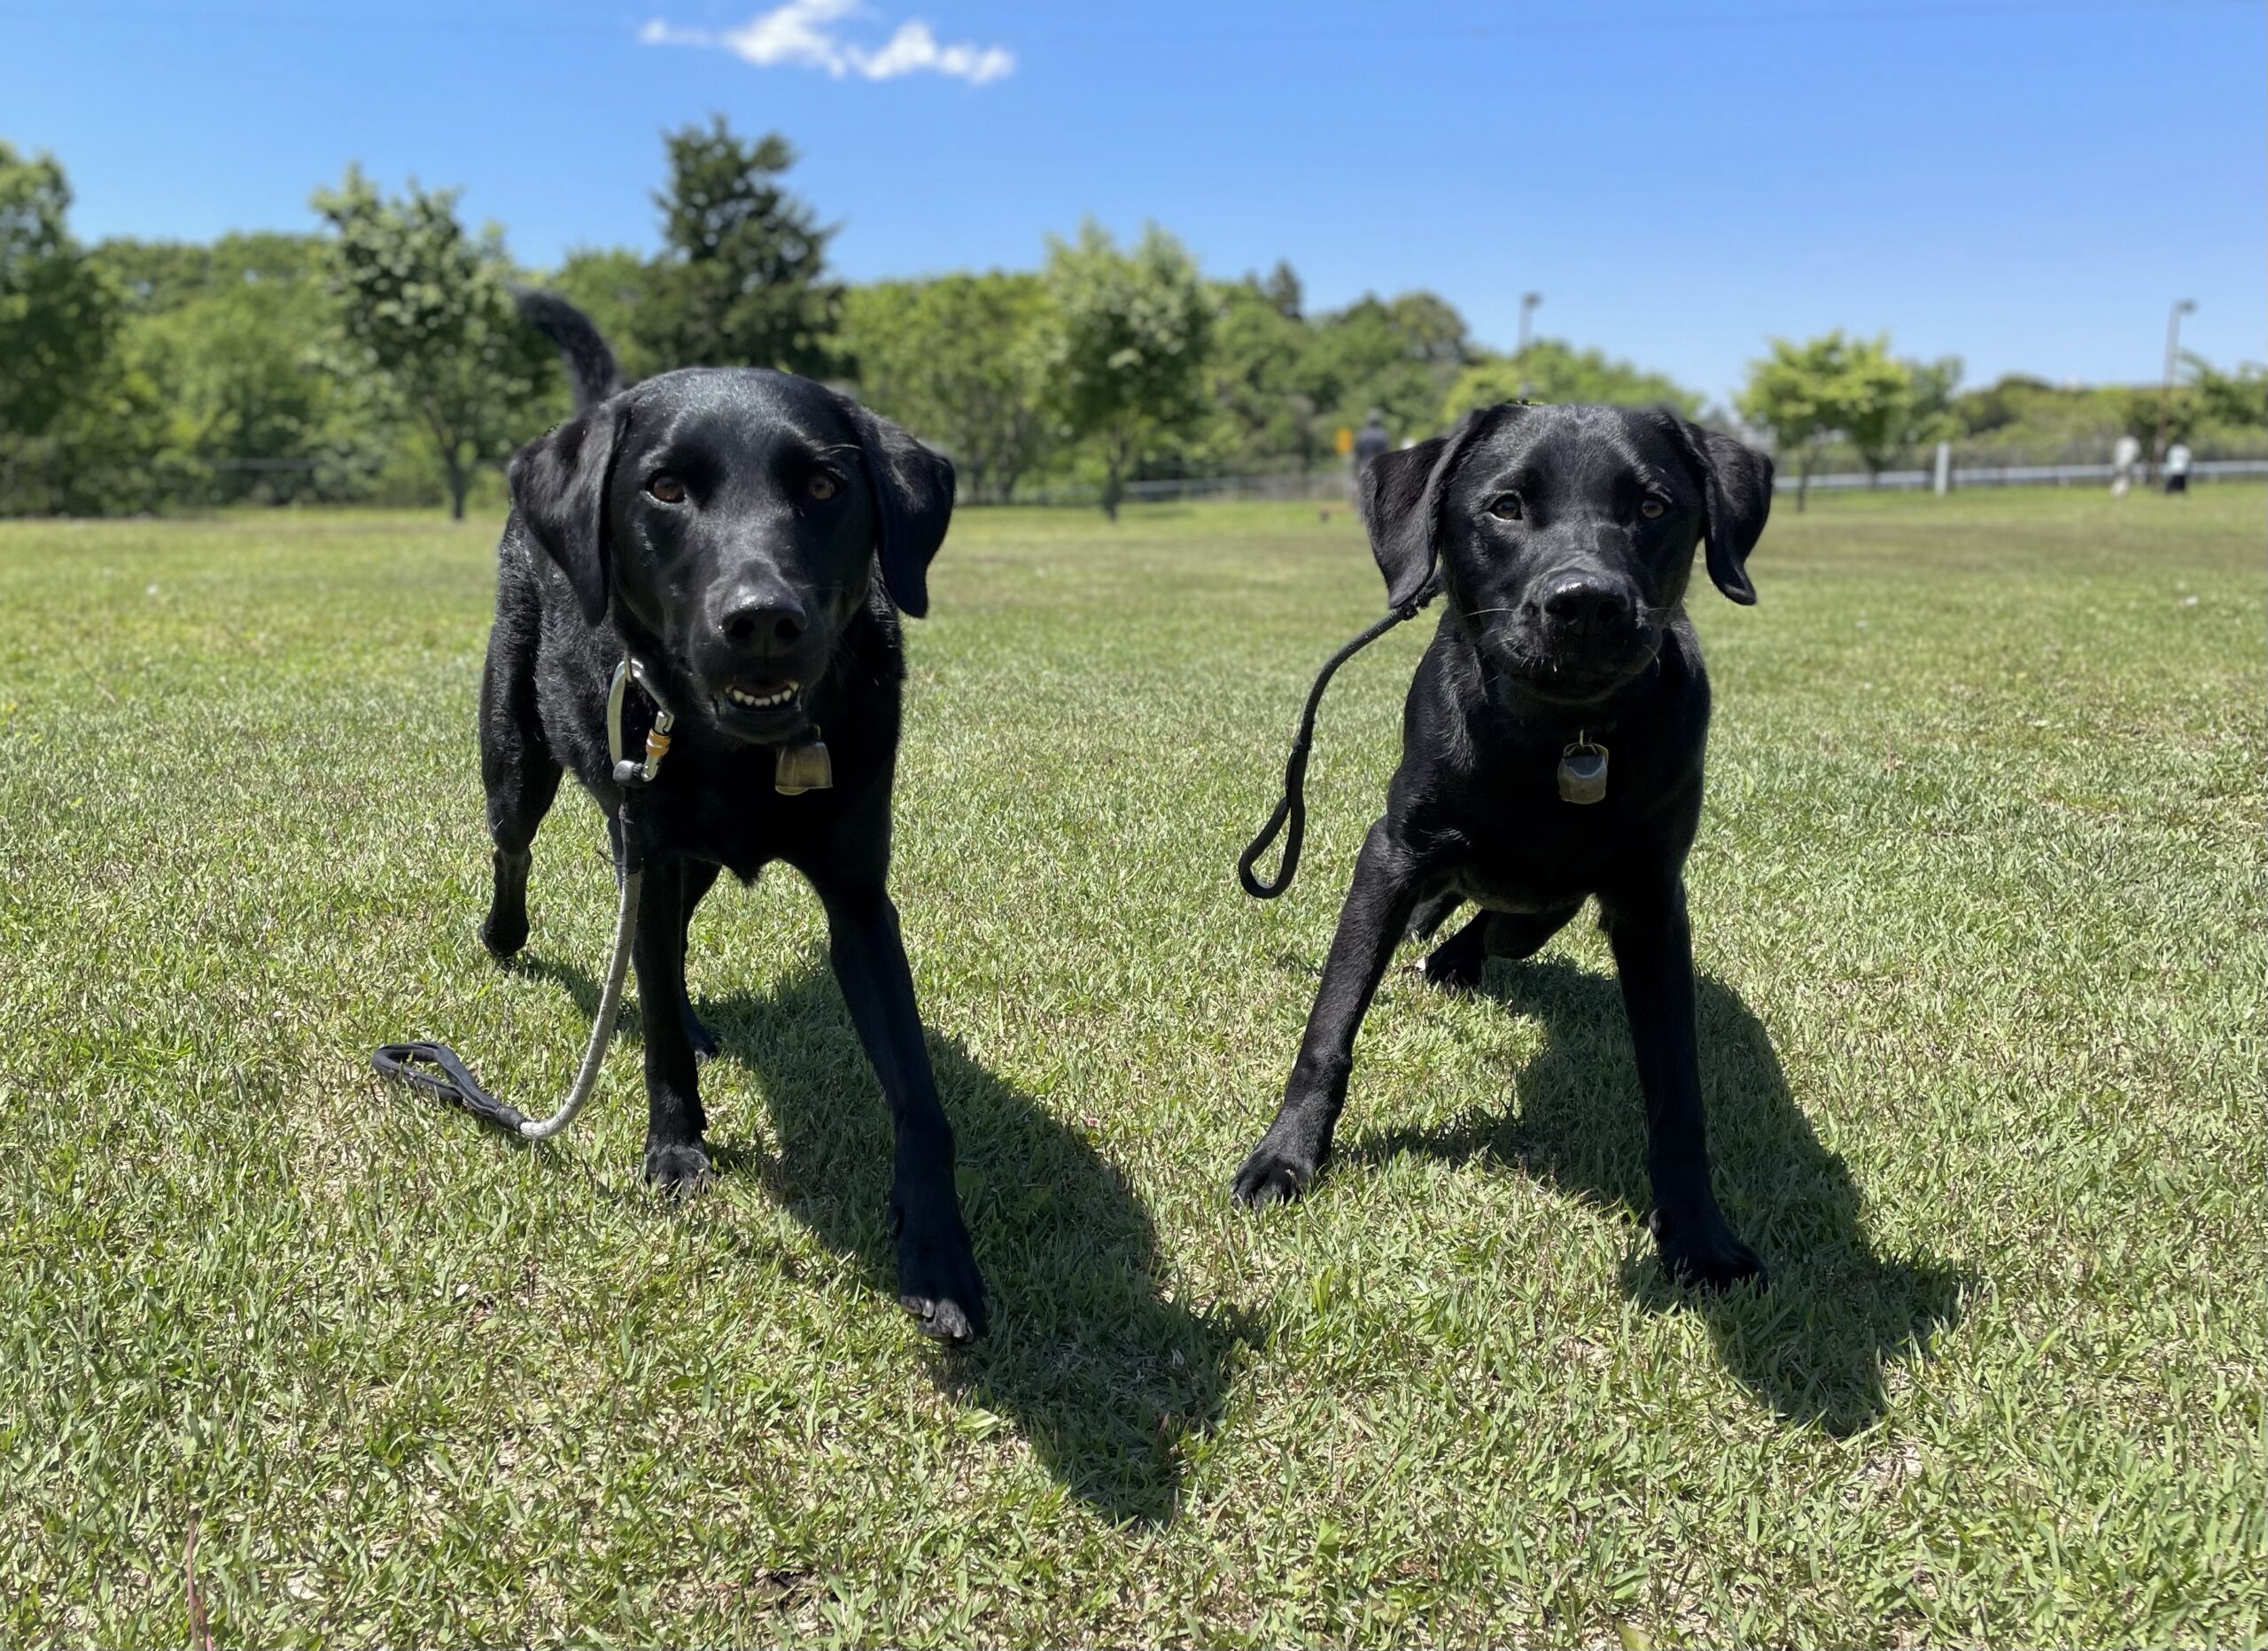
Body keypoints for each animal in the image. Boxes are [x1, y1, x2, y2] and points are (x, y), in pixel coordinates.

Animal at [481, 292, 987, 1341]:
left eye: (826, 484)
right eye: (666, 487)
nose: (762, 619)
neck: (745, 756)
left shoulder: (858, 898)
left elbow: (918, 1094)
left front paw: (940, 1253)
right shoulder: (650, 848)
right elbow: (662, 1042)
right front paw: (674, 1149)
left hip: (685, 855)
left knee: (664, 943)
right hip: (519, 759)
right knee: (516, 852)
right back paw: (504, 935)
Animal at [1232, 402, 1776, 1288]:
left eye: (1654, 505)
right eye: (1506, 506)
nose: (1586, 603)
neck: (1561, 741)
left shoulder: (1651, 902)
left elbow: (1676, 1091)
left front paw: (1699, 1235)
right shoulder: (1390, 855)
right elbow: (1329, 1027)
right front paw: (1286, 1156)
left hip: (1541, 915)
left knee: (1496, 924)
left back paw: (1452, 958)